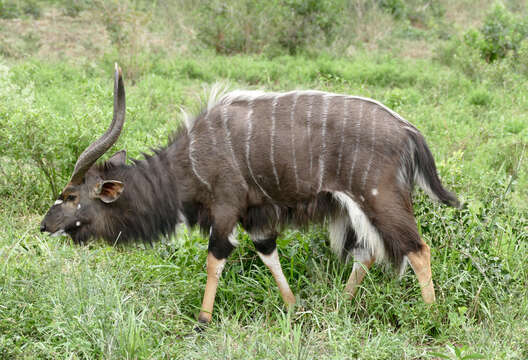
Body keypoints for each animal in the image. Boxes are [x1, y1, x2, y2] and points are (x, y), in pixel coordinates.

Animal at [42, 65, 458, 326]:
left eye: (70, 195)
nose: (45, 225)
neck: (189, 161)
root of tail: (409, 131)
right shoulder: (256, 216)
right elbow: (268, 253)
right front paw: (293, 307)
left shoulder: (226, 207)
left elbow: (215, 258)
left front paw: (203, 321)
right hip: (352, 206)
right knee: (369, 252)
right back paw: (340, 305)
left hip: (379, 198)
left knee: (417, 249)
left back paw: (432, 318)